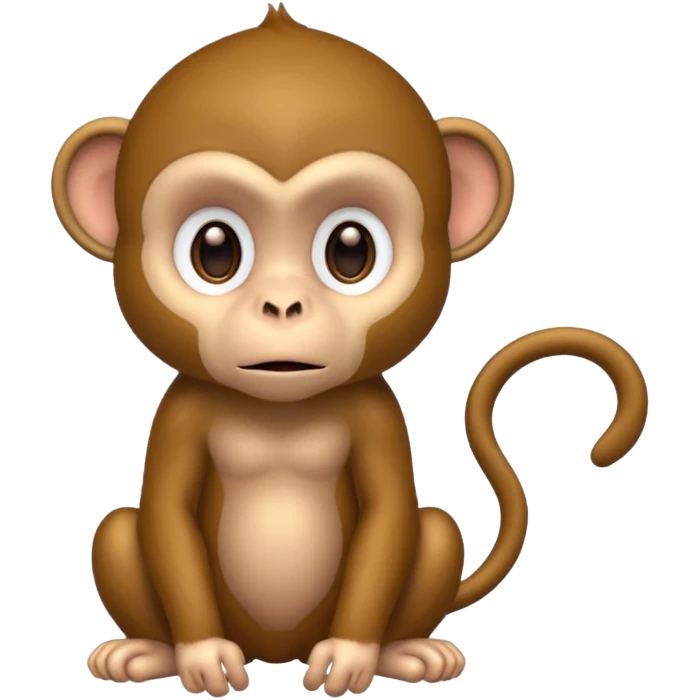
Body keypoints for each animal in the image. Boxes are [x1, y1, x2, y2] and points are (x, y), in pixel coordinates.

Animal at [52, 4, 649, 697]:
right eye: (215, 250)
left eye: (350, 249)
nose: (283, 305)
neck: (280, 410)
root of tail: (275, 652)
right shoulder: (181, 412)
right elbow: (166, 515)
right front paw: (200, 657)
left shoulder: (376, 413)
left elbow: (390, 514)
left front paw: (352, 657)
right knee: (119, 531)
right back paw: (147, 653)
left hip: (419, 562)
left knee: (435, 530)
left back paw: (409, 653)